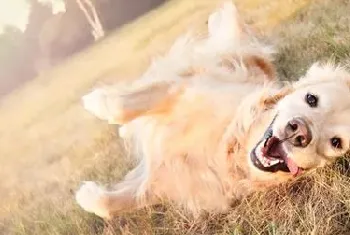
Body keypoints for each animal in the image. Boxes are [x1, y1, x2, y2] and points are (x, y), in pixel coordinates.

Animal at [75, 2, 350, 218]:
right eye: (311, 99)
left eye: (336, 143)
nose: (299, 132)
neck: (229, 144)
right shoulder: (184, 88)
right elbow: (121, 105)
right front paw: (97, 101)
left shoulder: (170, 181)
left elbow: (111, 205)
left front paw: (89, 196)